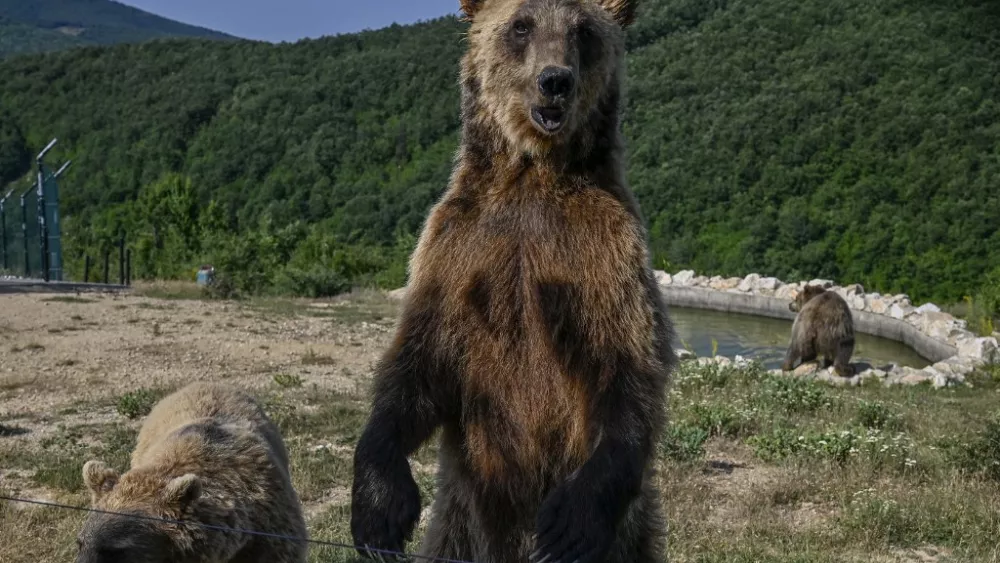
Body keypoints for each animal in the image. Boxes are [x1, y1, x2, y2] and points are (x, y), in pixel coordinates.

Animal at [350, 1, 675, 563]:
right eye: (521, 25)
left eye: (584, 31)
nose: (555, 81)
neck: (531, 174)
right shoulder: (457, 245)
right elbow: (416, 360)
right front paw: (379, 507)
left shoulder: (604, 250)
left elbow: (628, 360)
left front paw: (569, 523)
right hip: (459, 524)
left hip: (627, 538)